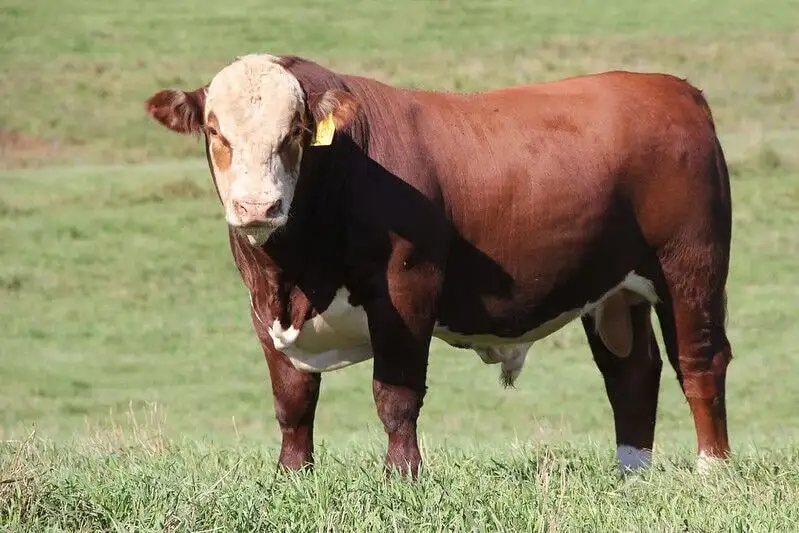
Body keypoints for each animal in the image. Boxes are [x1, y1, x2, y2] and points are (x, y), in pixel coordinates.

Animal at [144, 53, 733, 477]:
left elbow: (396, 396)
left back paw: (711, 469)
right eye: (216, 132)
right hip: (614, 289)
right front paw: (292, 477)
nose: (257, 207)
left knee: (699, 361)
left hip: (690, 267)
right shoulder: (263, 309)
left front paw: (402, 478)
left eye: (294, 134)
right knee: (631, 371)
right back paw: (632, 473)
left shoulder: (406, 291)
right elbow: (293, 401)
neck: (294, 276)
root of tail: (673, 89)